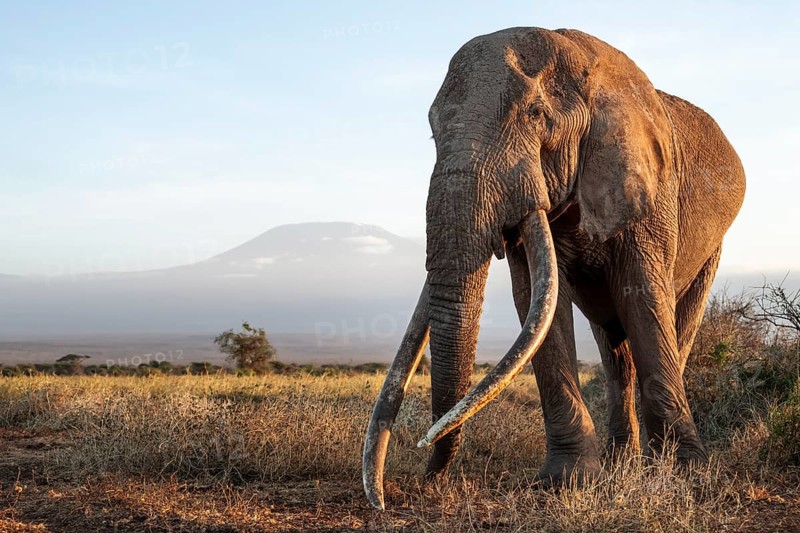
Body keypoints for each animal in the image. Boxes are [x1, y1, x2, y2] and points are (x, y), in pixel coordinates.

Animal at [363, 27, 745, 509]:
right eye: (433, 132)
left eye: (537, 114)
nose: (424, 475)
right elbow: (538, 301)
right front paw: (568, 482)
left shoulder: (650, 189)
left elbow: (641, 296)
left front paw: (686, 474)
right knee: (613, 347)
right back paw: (622, 463)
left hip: (713, 246)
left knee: (676, 325)